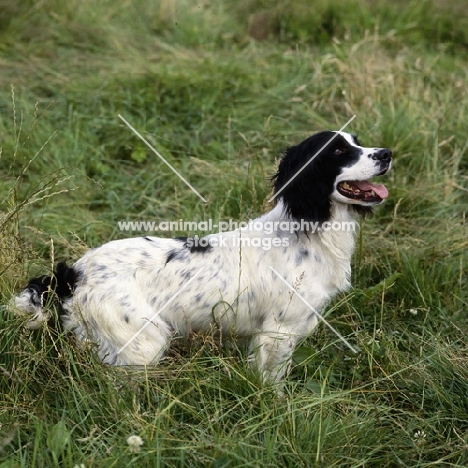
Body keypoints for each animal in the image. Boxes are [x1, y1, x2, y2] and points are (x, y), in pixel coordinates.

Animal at [11, 132, 392, 384]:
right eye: (339, 150)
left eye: (357, 142)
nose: (386, 153)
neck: (306, 230)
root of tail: (71, 274)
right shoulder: (278, 332)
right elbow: (272, 383)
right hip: (142, 343)